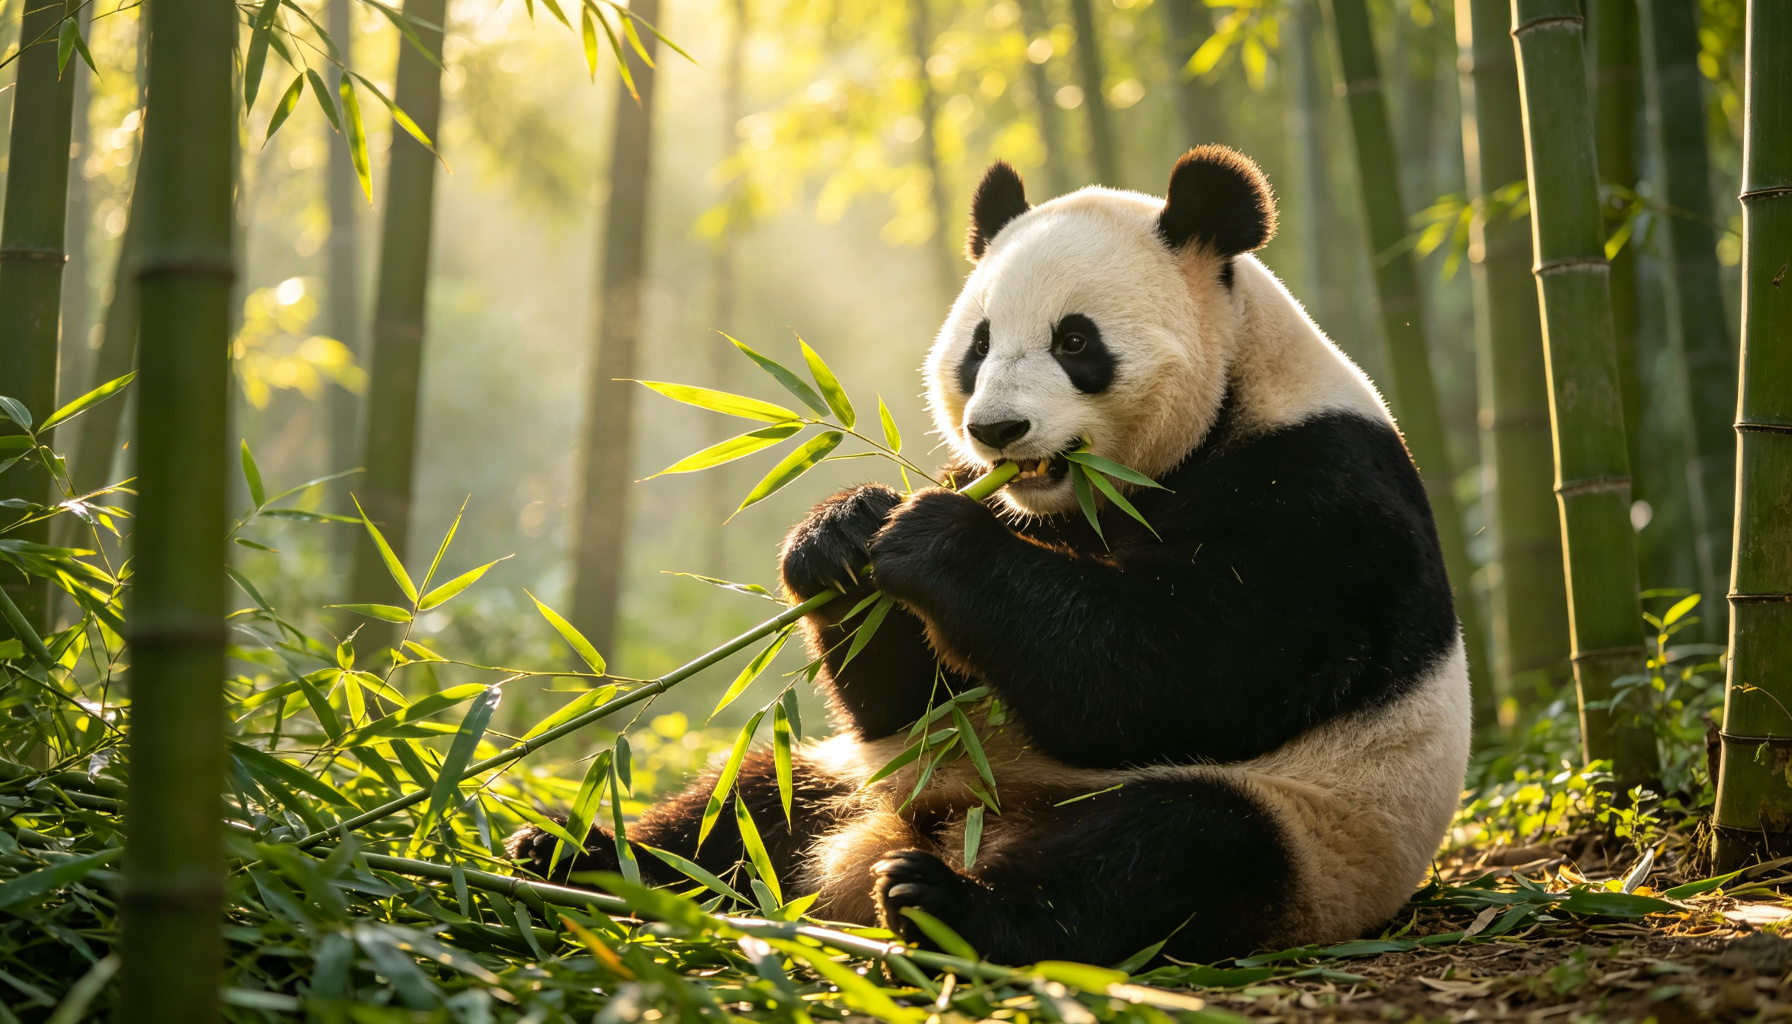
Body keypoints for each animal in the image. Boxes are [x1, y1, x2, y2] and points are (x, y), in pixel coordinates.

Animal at [510, 145, 1472, 967]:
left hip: (1315, 830)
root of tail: (930, 829)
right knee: (738, 805)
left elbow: (1182, 674)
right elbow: (912, 696)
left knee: (1173, 850)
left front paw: (933, 541)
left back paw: (945, 906)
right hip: (853, 775)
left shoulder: (1322, 501)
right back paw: (572, 856)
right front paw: (841, 533)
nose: (998, 430)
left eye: (1075, 342)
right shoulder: (998, 506)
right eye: (977, 345)